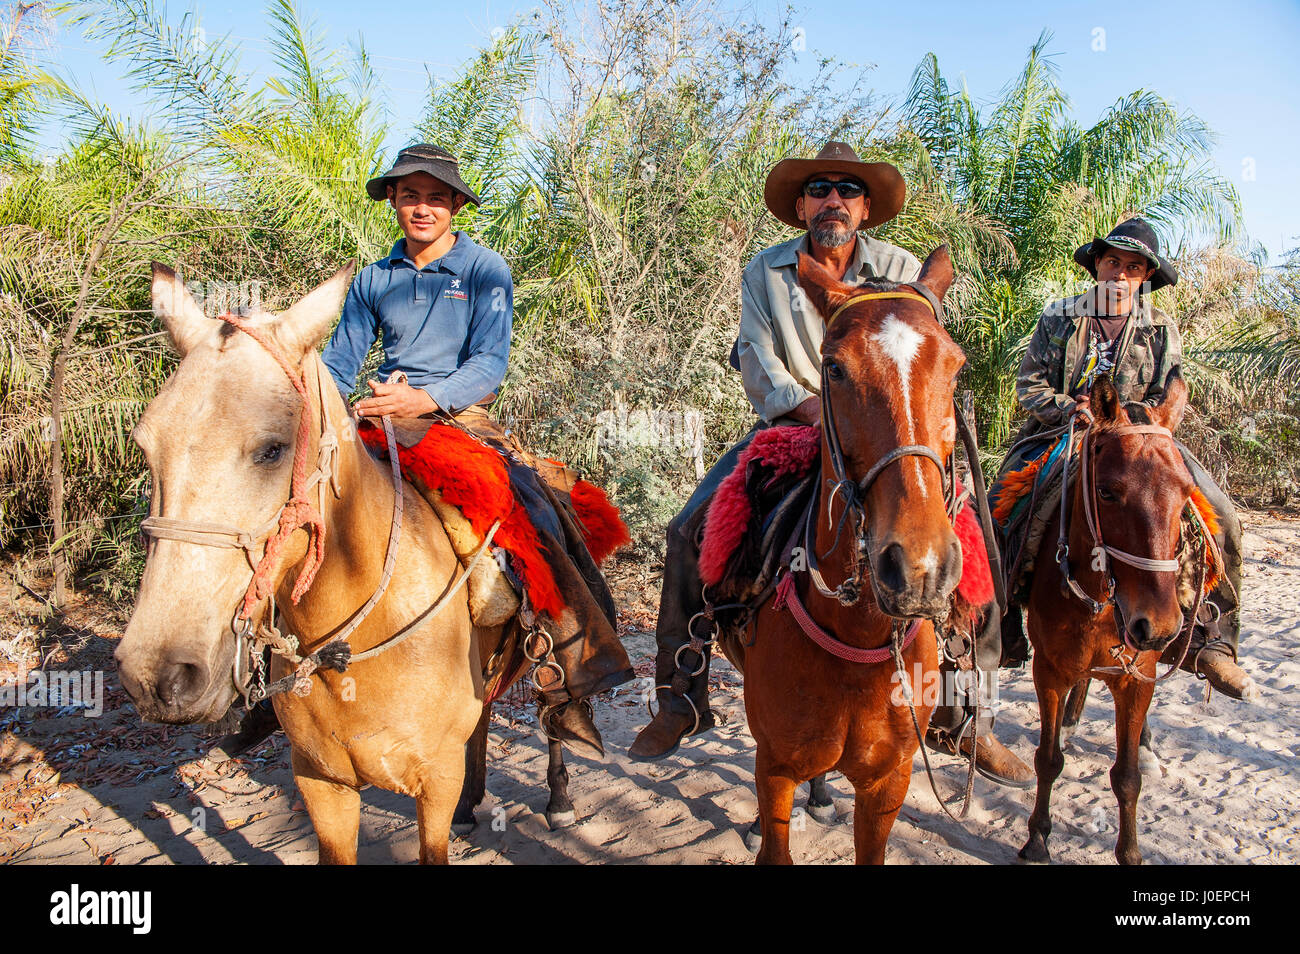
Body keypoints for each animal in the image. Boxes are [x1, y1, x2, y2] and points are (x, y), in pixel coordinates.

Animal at [728, 246, 972, 868]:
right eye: (834, 369)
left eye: (955, 366)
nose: (918, 568)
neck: (858, 636)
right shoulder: (774, 767)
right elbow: (775, 841)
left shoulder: (889, 781)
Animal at [1019, 376, 1201, 868]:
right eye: (1106, 492)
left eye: (1185, 493)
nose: (1158, 626)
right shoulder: (1049, 671)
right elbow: (1048, 760)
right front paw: (1037, 837)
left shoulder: (1137, 678)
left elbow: (1127, 777)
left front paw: (1131, 851)